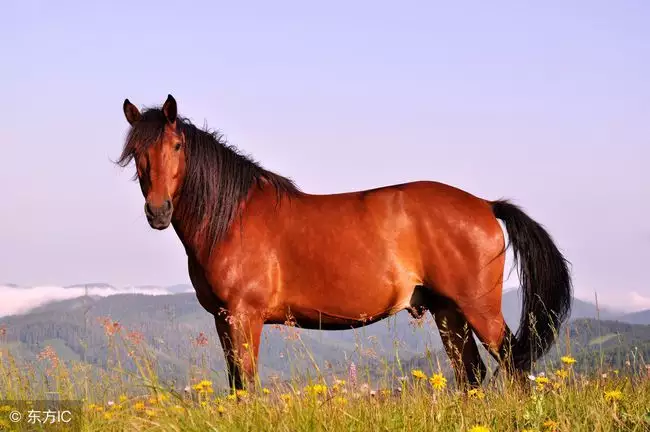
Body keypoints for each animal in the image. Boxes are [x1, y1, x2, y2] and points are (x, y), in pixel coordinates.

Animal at [117, 94, 572, 392]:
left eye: (177, 146)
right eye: (136, 152)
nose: (158, 211)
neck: (232, 219)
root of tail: (485, 205)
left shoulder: (244, 318)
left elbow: (246, 387)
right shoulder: (222, 319)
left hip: (479, 310)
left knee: (512, 368)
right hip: (449, 312)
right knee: (471, 376)